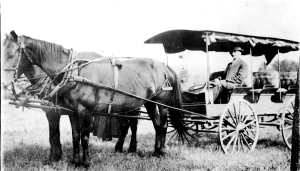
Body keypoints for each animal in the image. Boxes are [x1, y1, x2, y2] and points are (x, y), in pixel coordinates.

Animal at [2, 30, 186, 166]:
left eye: (12, 54)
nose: (4, 84)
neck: (74, 72)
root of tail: (164, 66)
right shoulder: (72, 111)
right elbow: (75, 136)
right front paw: (75, 161)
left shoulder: (84, 110)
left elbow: (83, 136)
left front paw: (85, 162)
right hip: (148, 103)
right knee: (154, 124)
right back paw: (154, 151)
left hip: (161, 103)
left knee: (162, 124)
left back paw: (161, 151)